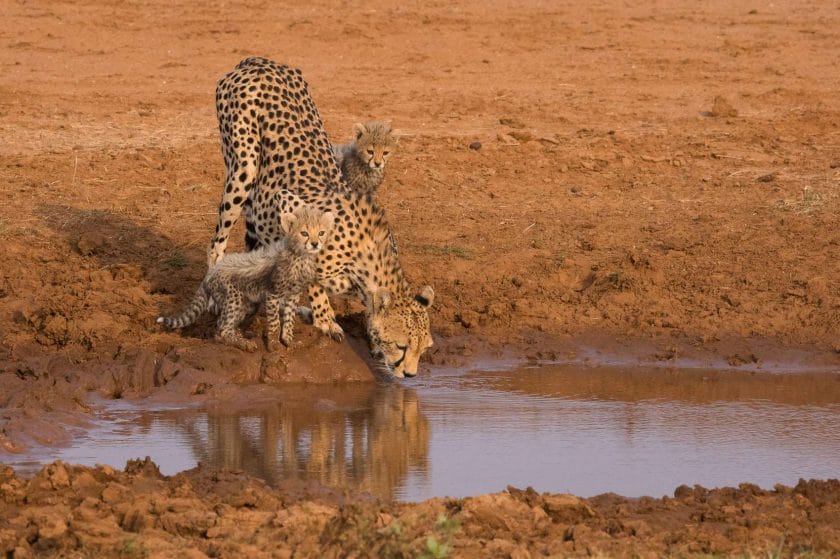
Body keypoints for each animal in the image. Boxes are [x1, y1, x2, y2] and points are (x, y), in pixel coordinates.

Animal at [208, 57, 434, 378]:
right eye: (401, 346)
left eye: (423, 348)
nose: (411, 374)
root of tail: (257, 62)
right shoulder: (287, 204)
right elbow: (311, 275)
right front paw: (326, 319)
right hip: (244, 167)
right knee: (217, 242)